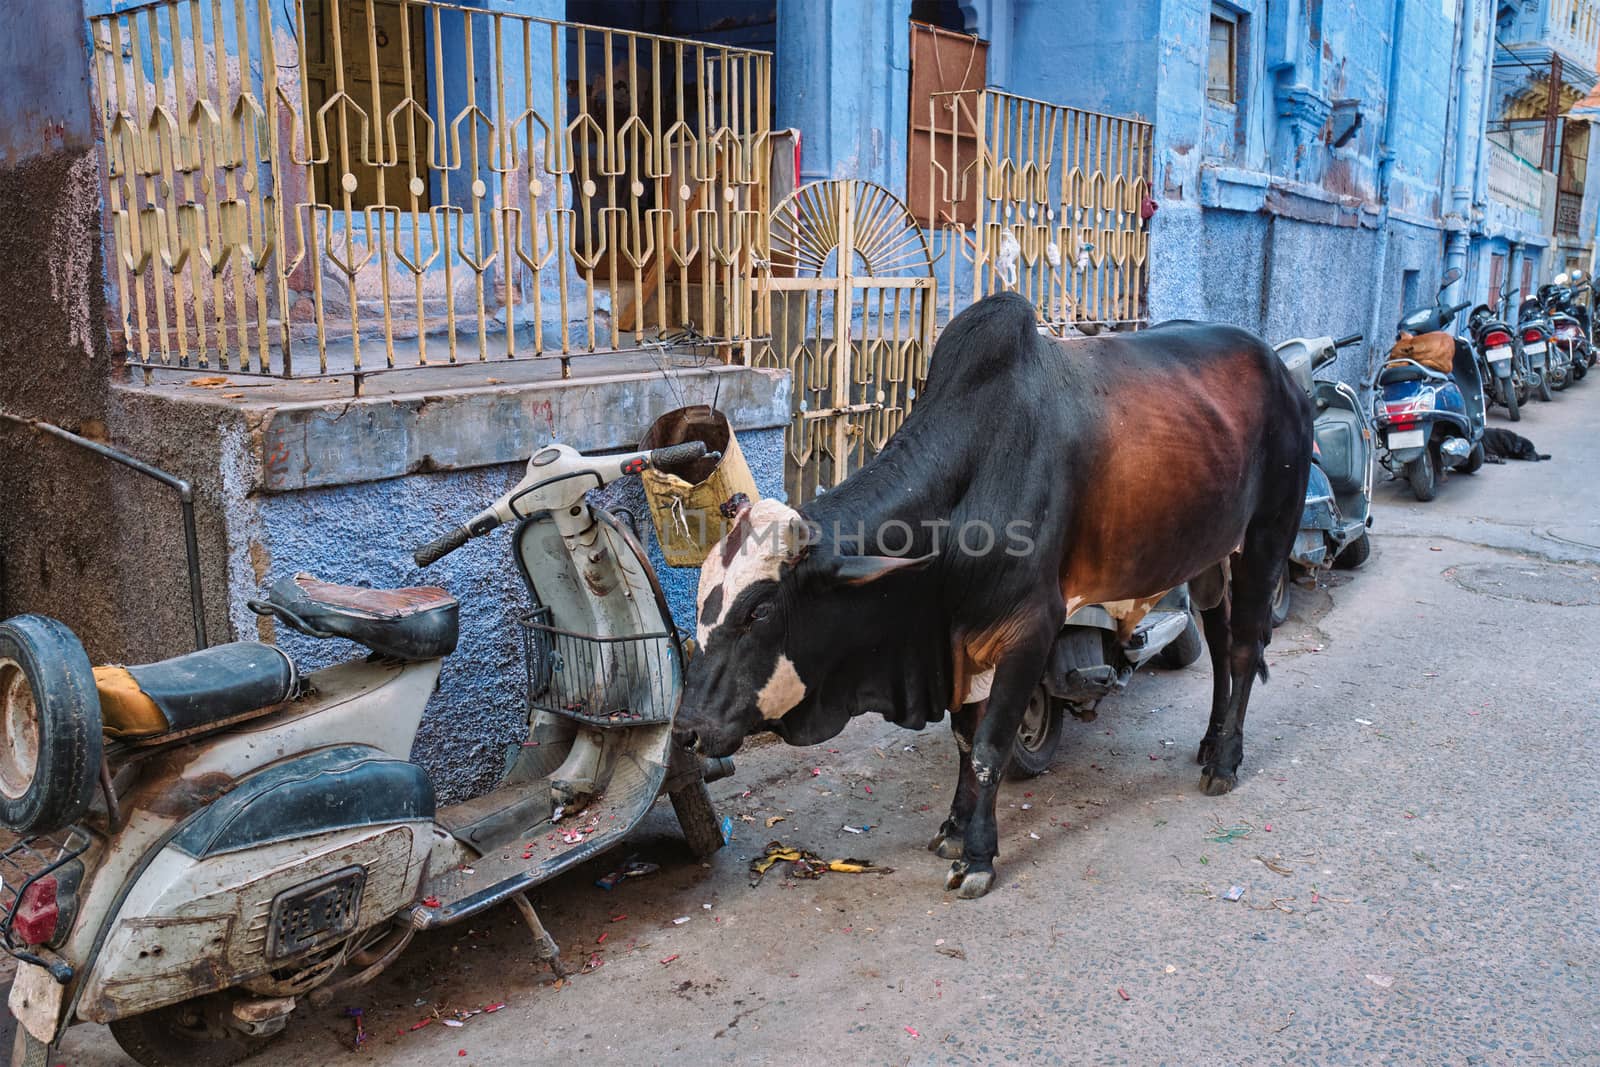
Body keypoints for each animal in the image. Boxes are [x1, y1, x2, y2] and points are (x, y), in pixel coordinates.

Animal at [675, 287, 1312, 895]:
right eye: (702, 610)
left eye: (759, 611)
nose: (686, 731)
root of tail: (1284, 373)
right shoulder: (959, 639)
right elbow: (964, 739)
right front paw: (955, 830)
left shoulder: (1031, 627)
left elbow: (989, 747)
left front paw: (978, 856)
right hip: (1211, 555)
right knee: (1222, 643)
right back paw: (1209, 742)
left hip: (1265, 537)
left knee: (1244, 649)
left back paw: (1225, 761)